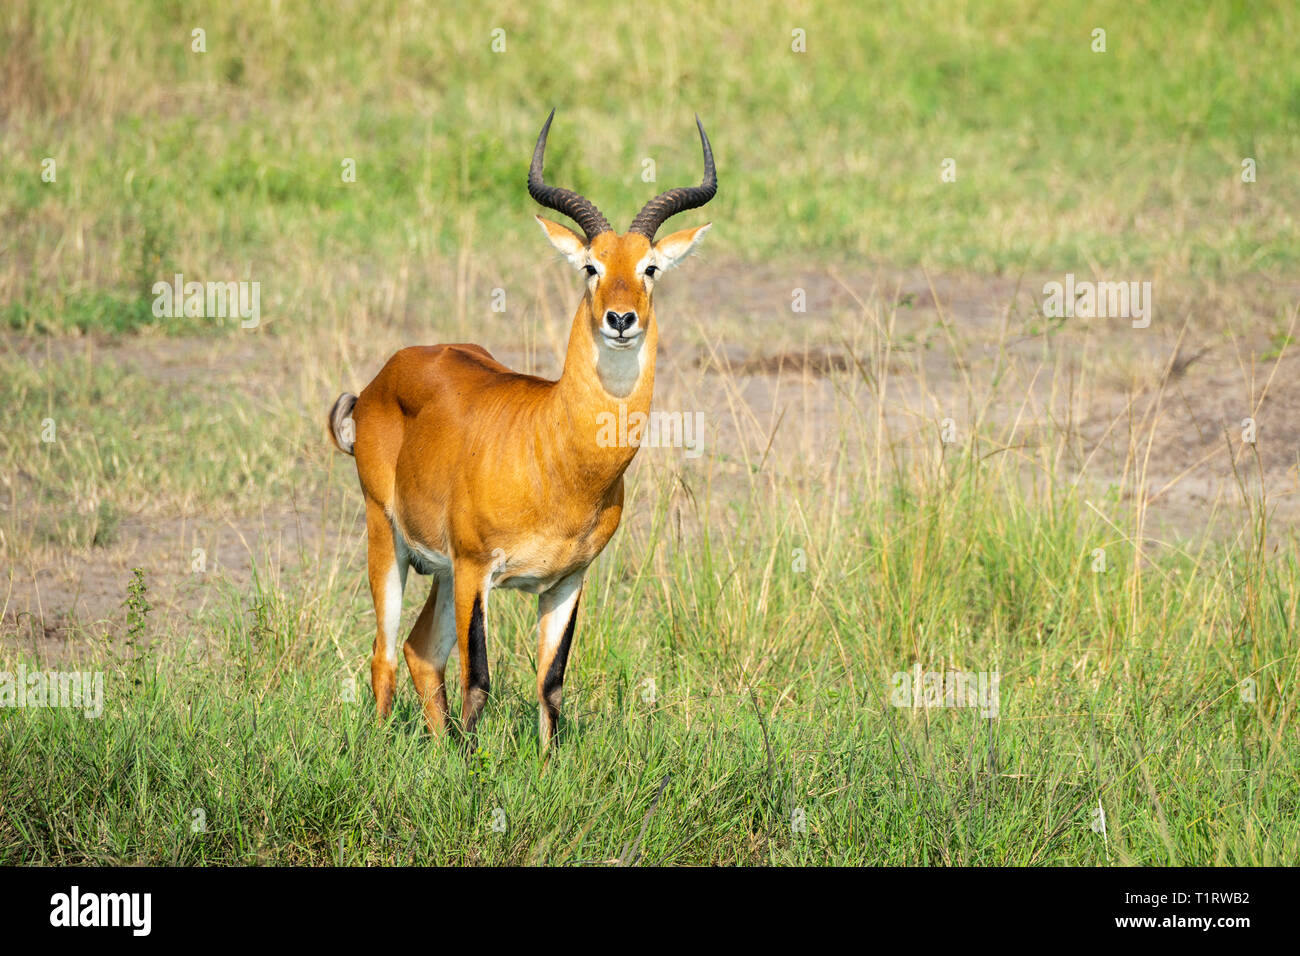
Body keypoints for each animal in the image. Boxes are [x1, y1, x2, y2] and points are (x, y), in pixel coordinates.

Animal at [322, 106, 712, 749]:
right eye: (591, 266)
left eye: (650, 267)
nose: (621, 319)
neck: (555, 455)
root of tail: (382, 378)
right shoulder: (478, 568)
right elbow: (479, 679)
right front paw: (474, 769)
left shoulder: (566, 581)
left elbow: (550, 684)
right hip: (390, 539)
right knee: (385, 653)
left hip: (441, 572)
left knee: (420, 653)